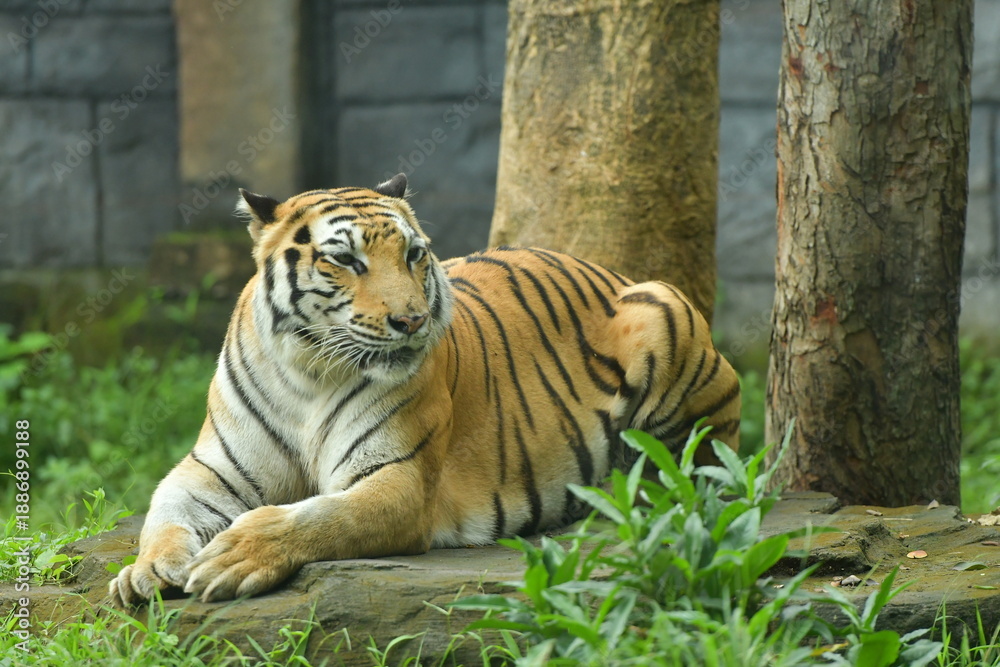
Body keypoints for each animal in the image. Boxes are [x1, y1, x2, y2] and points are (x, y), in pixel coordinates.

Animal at [109, 173, 740, 606]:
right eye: (346, 259)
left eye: (414, 254)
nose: (411, 320)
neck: (308, 371)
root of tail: (608, 269)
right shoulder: (211, 469)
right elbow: (164, 511)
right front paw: (146, 572)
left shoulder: (400, 478)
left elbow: (321, 517)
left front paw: (236, 556)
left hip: (663, 309)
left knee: (705, 474)